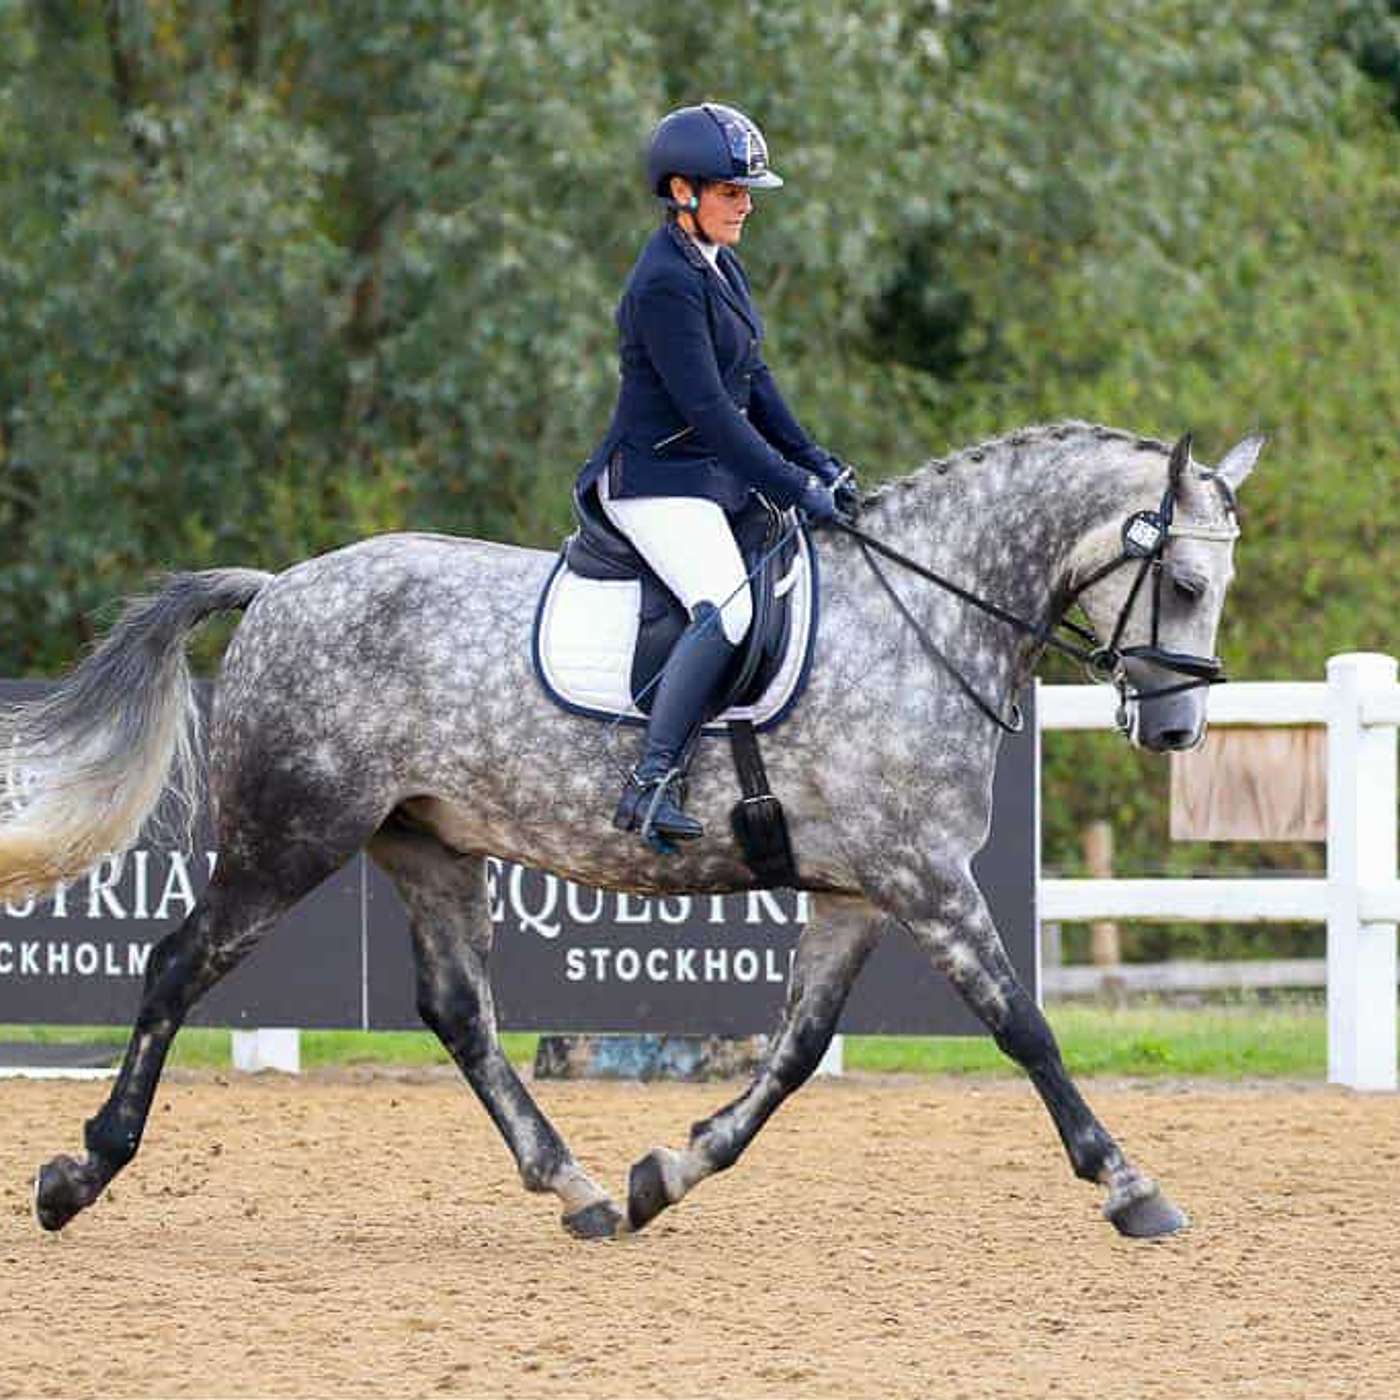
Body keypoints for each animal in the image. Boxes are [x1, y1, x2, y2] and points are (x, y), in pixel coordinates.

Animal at [8, 421, 1261, 1243]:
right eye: (1181, 580)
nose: (1174, 728)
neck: (922, 616)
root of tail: (276, 588)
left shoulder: (859, 890)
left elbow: (794, 1052)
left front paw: (668, 1167)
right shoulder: (923, 877)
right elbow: (1024, 1026)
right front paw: (1128, 1185)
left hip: (425, 844)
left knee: (458, 1012)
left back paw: (578, 1188)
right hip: (289, 836)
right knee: (179, 963)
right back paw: (80, 1172)